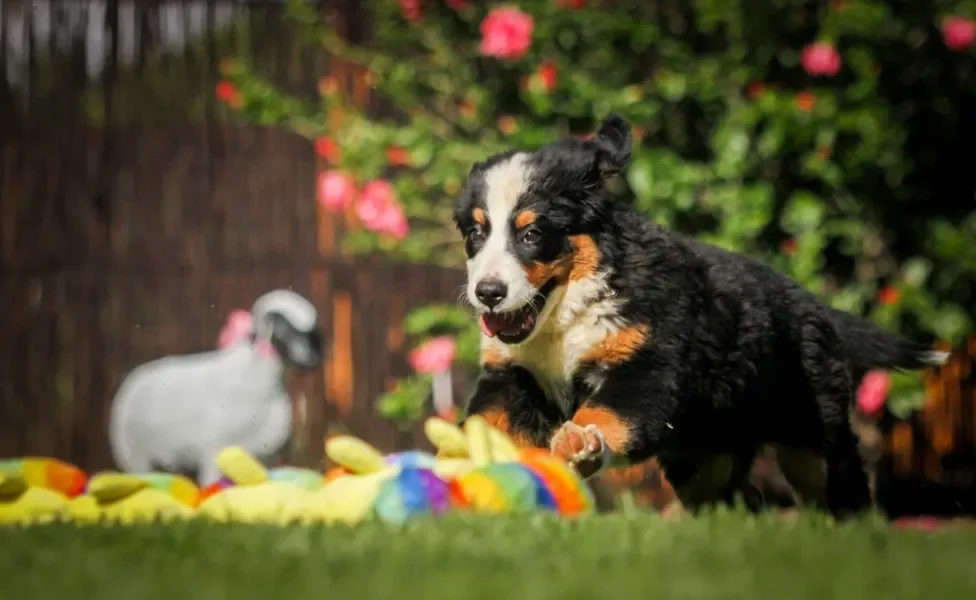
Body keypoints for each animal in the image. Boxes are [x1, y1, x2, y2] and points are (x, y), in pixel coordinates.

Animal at [454, 115, 948, 516]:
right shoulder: (511, 373)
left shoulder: (647, 366)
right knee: (737, 499)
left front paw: (580, 444)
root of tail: (812, 303)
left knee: (838, 485)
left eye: (532, 234)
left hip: (814, 430)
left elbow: (605, 413)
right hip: (706, 454)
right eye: (476, 233)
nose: (488, 294)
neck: (563, 320)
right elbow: (486, 420)